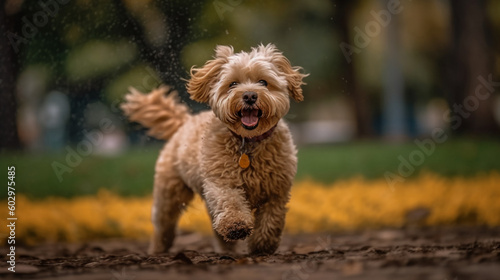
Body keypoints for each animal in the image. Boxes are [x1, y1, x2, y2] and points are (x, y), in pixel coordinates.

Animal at [122, 43, 308, 254]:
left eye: (263, 82)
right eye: (233, 84)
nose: (249, 95)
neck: (248, 141)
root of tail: (185, 121)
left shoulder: (277, 191)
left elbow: (272, 219)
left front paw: (262, 245)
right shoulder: (221, 183)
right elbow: (230, 202)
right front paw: (236, 225)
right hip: (169, 192)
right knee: (163, 224)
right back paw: (158, 249)